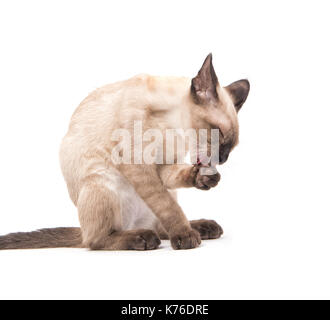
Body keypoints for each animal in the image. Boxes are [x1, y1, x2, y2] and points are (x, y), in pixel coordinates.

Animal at [0, 54, 248, 250]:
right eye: (220, 136)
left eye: (231, 146)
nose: (222, 159)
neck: (173, 130)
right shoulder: (137, 165)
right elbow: (166, 205)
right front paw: (185, 236)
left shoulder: (164, 166)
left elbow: (171, 192)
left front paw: (204, 179)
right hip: (101, 182)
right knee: (96, 241)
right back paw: (144, 238)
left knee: (160, 228)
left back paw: (202, 227)